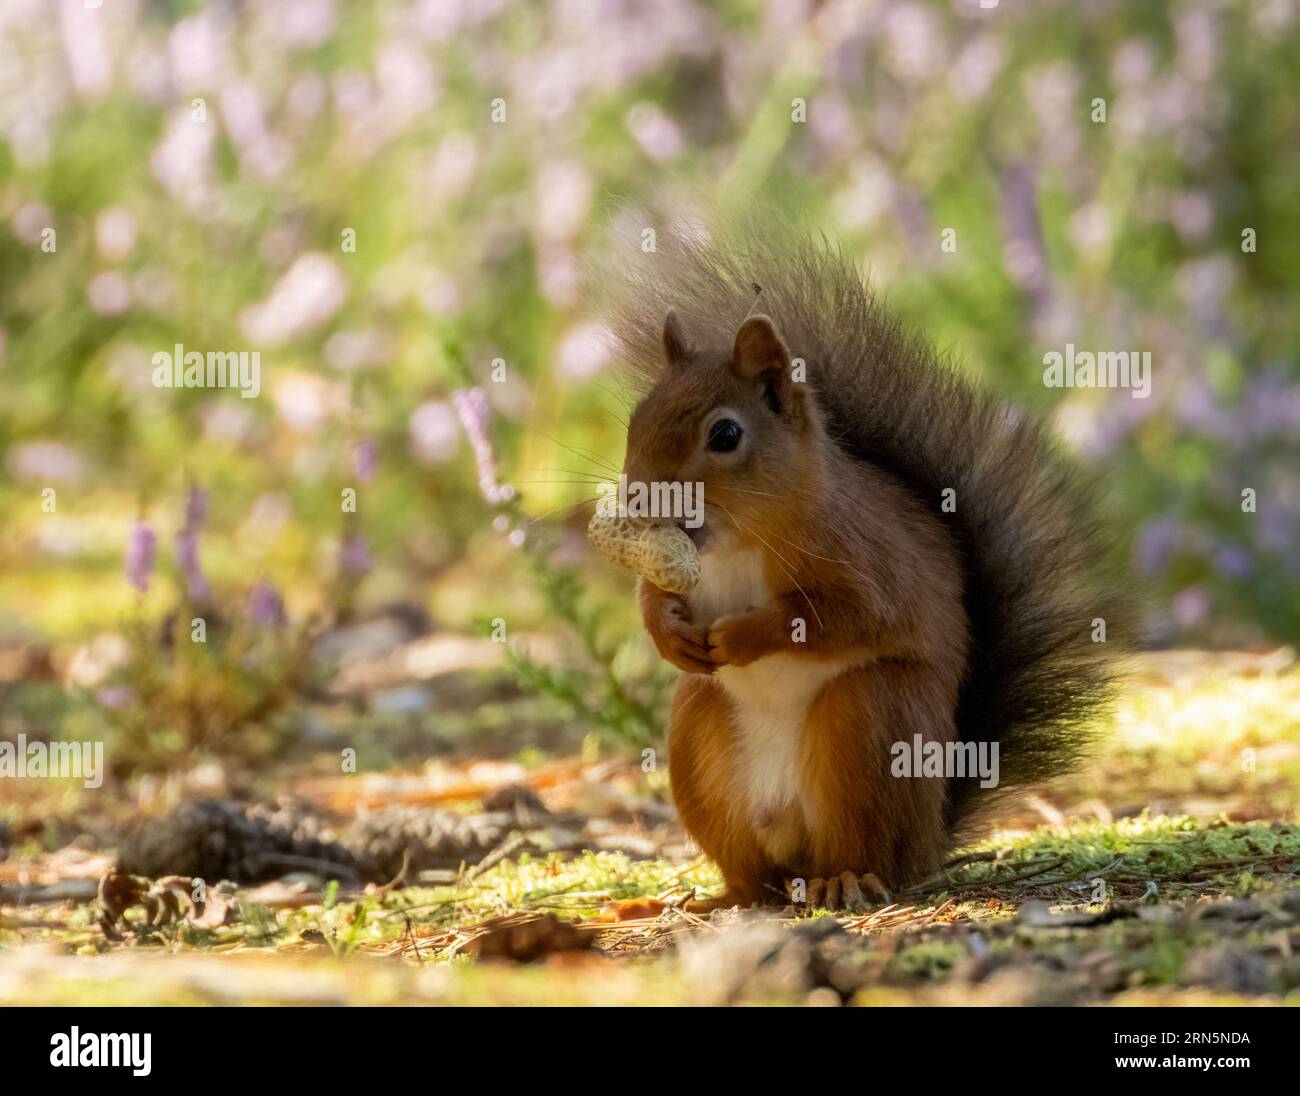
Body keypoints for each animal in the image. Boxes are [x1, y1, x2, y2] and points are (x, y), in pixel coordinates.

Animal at [604, 217, 1133, 910]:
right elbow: (653, 596)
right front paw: (669, 630)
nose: (639, 500)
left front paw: (742, 634)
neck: (736, 543)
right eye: (637, 418)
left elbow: (845, 618)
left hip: (870, 721)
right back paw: (725, 895)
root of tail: (928, 840)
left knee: (867, 851)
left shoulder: (866, 561)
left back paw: (847, 879)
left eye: (725, 435)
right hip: (700, 730)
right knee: (756, 871)